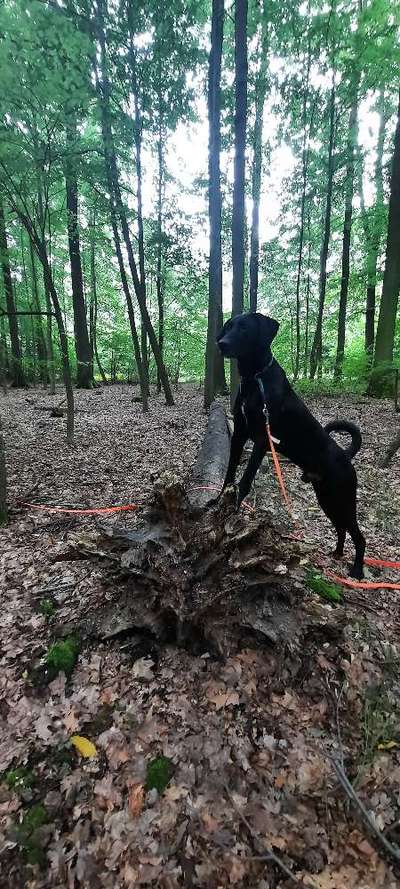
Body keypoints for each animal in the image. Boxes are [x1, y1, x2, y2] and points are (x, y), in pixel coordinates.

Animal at [217, 310, 364, 576]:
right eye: (229, 326)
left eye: (244, 328)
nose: (221, 344)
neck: (255, 379)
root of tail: (346, 456)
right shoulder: (240, 434)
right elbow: (230, 473)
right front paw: (219, 501)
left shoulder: (262, 440)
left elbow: (244, 482)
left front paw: (234, 511)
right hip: (326, 498)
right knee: (340, 528)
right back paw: (337, 553)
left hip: (343, 498)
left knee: (358, 535)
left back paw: (357, 571)